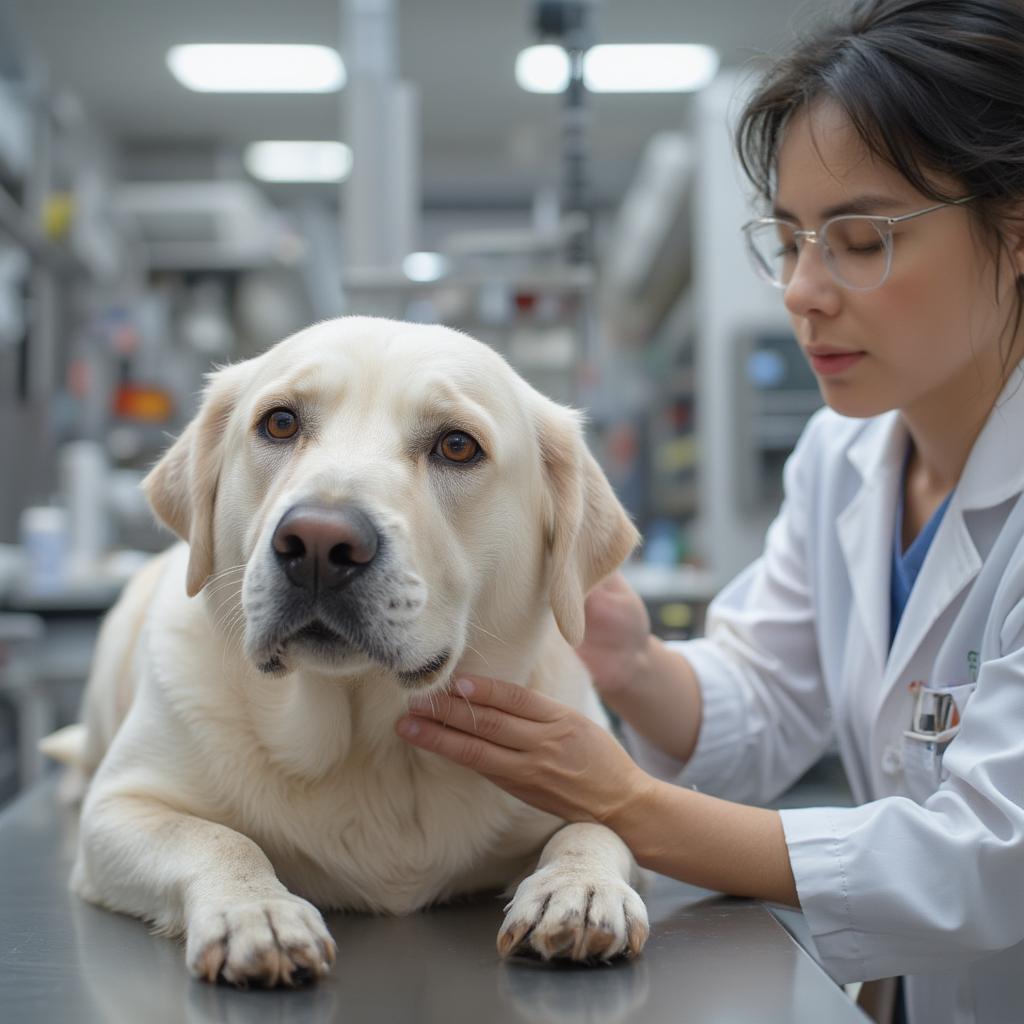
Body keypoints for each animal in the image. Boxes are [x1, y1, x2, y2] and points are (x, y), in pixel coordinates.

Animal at [41, 317, 647, 983]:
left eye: (458, 446)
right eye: (280, 422)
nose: (317, 543)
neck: (369, 748)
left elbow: (597, 825)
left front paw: (580, 889)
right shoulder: (119, 811)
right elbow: (220, 839)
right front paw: (256, 911)